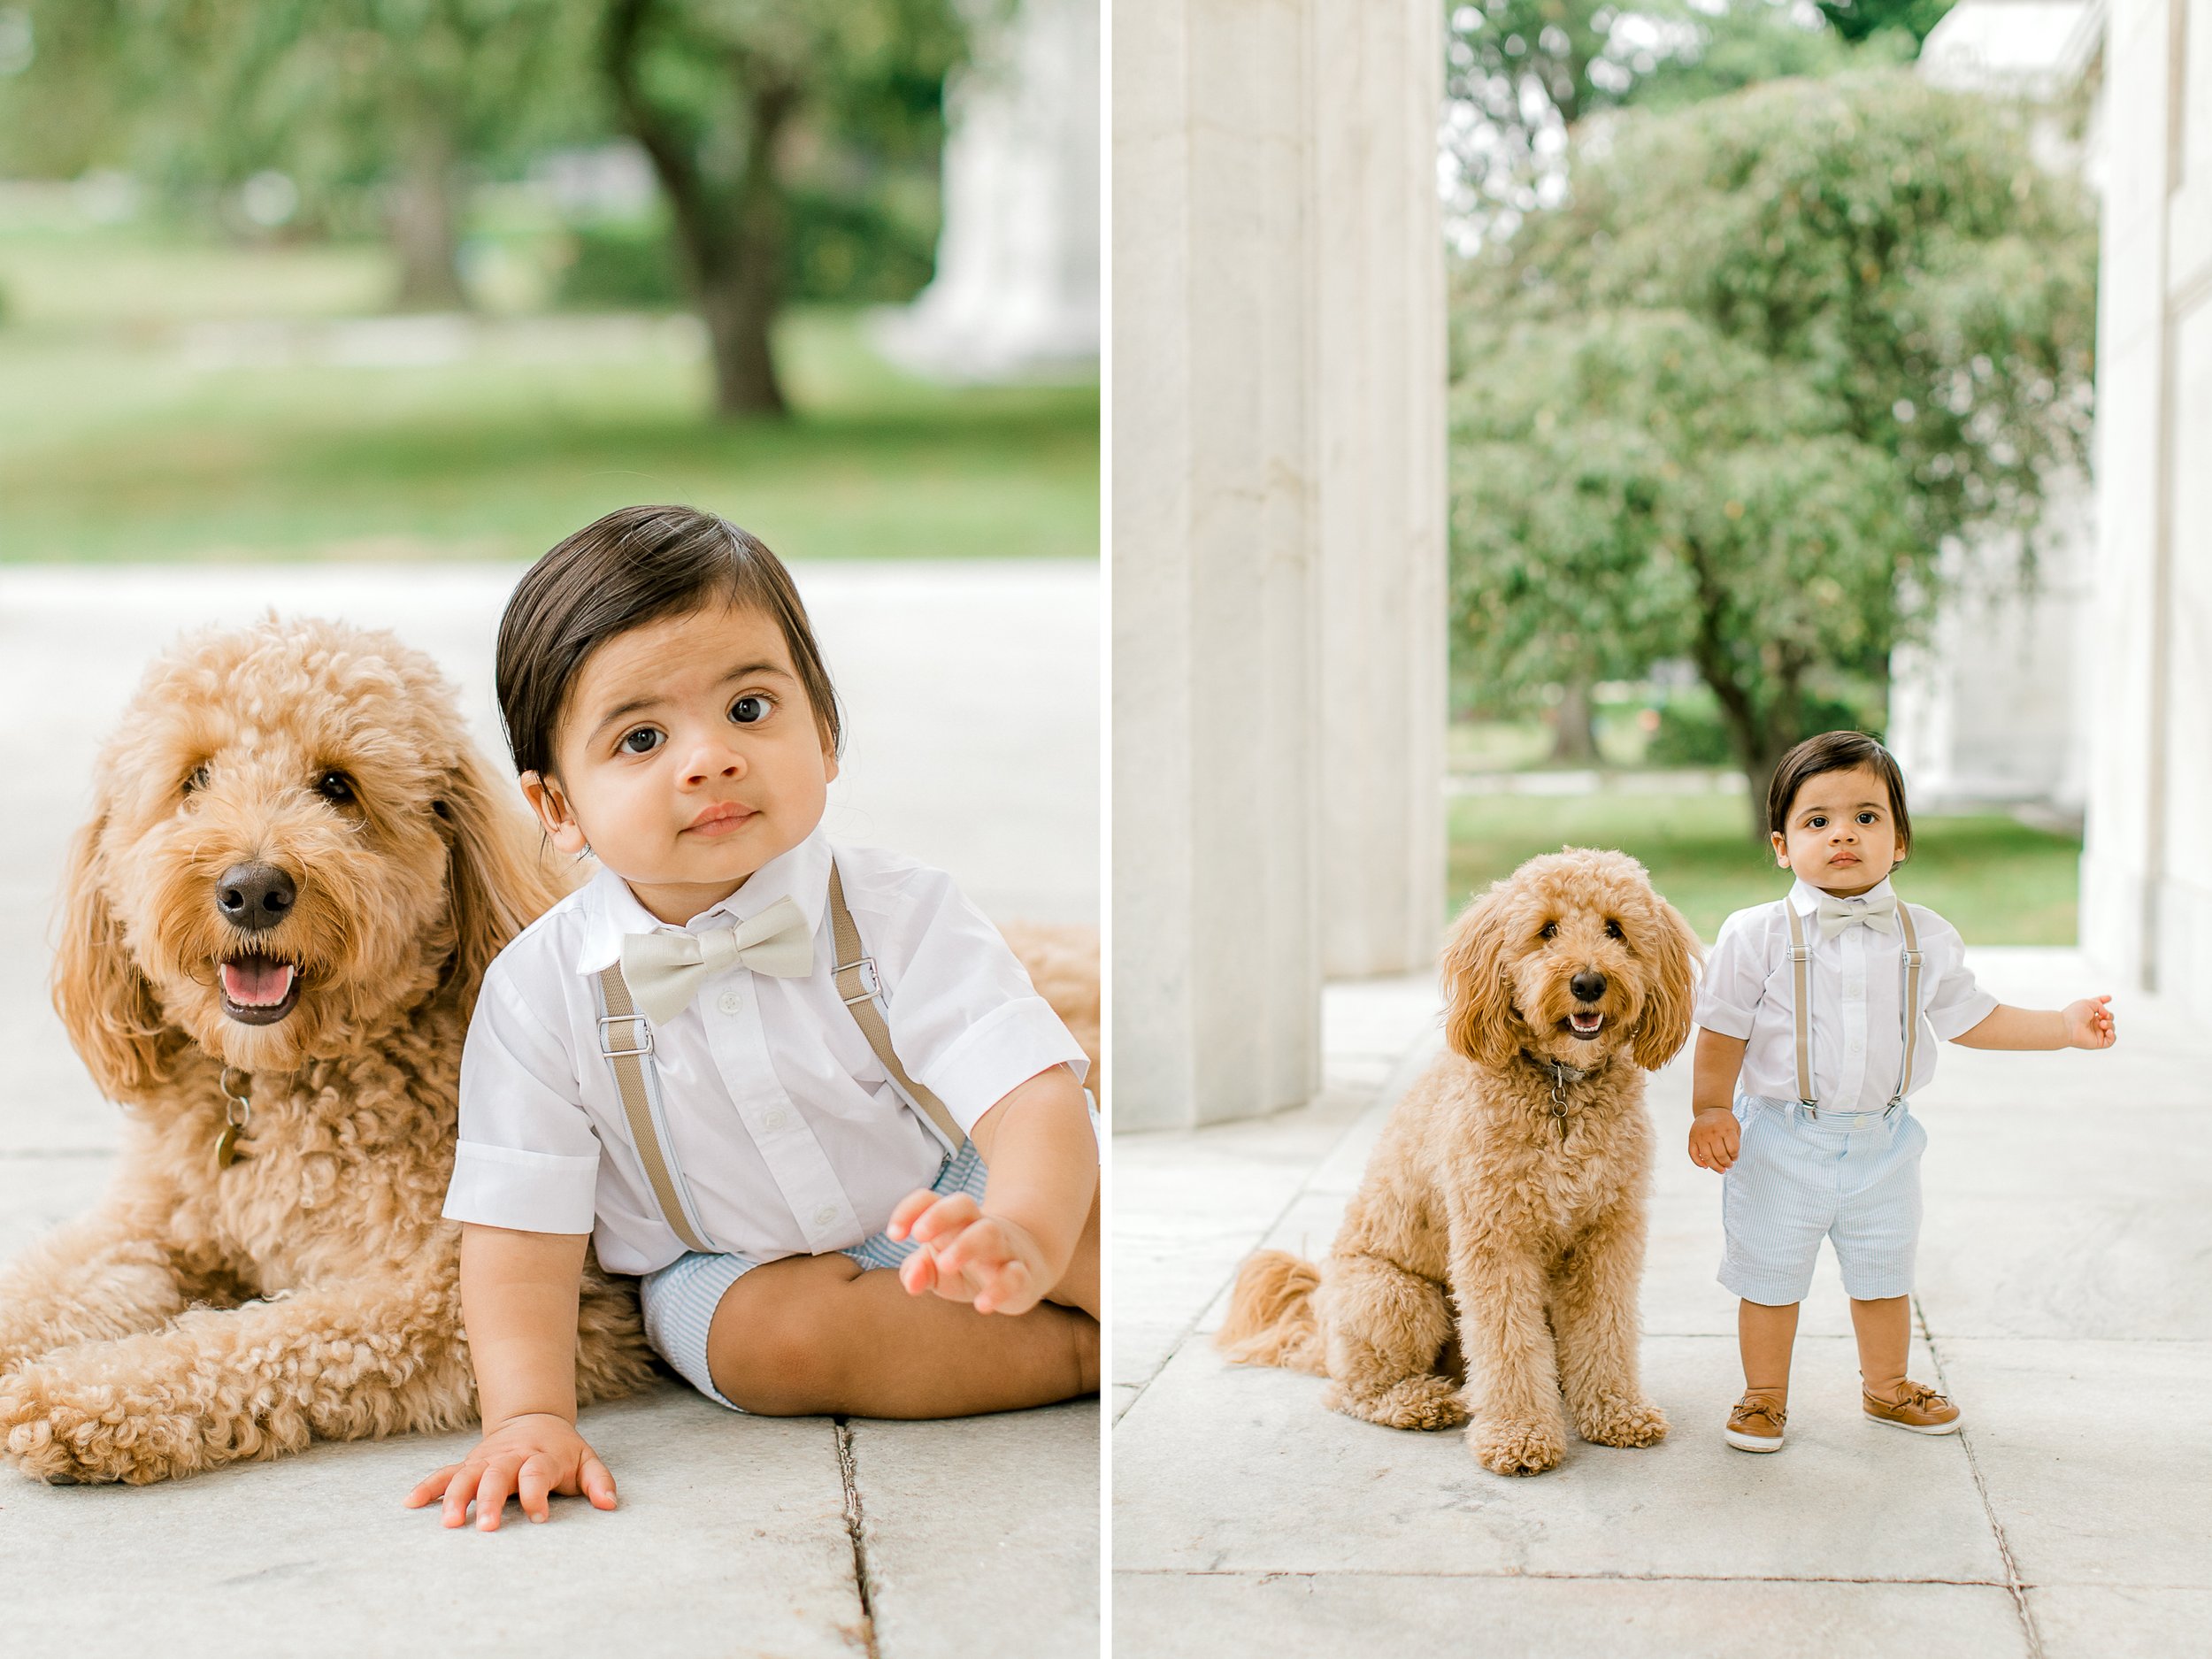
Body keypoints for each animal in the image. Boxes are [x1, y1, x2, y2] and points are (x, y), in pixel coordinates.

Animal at [1221, 849, 1699, 1478]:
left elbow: (1606, 1327)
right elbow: (1507, 1342)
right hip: (1397, 1298)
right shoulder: (1495, 1240)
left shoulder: (1605, 1236)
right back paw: (1426, 1401)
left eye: (1616, 929)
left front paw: (1615, 1411)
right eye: (1546, 930)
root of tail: (1317, 1327)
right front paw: (1519, 1435)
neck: (1560, 1090)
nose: (1589, 982)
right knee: (1354, 1390)